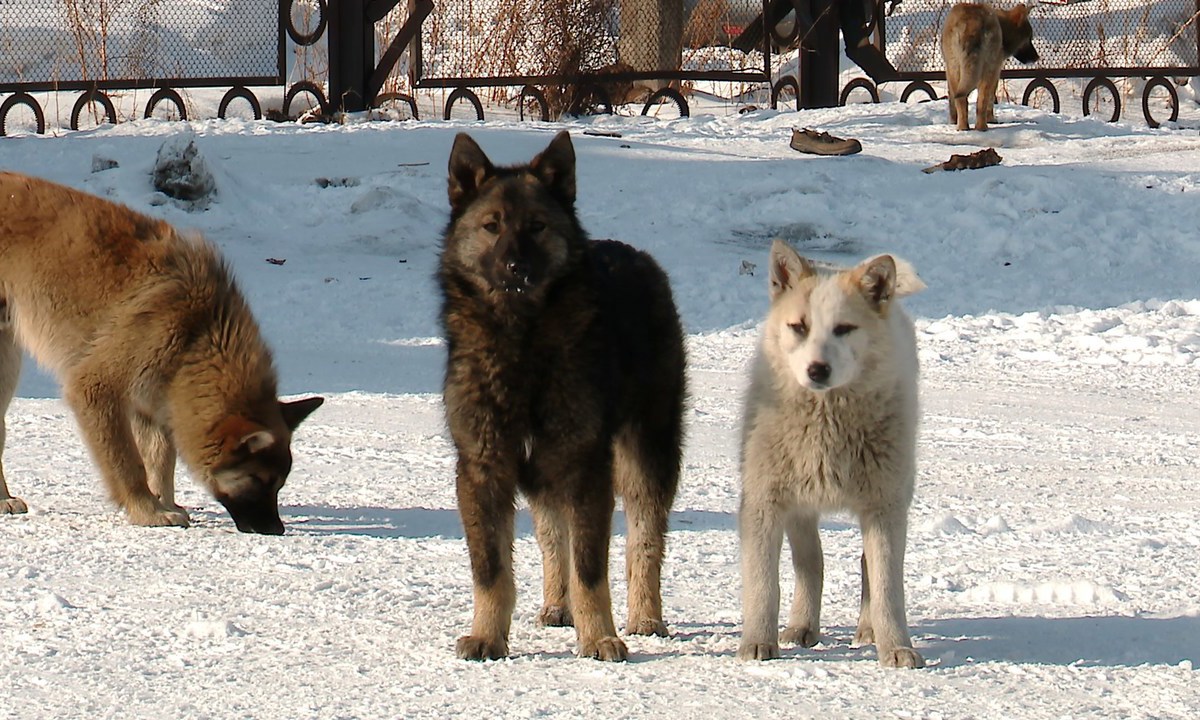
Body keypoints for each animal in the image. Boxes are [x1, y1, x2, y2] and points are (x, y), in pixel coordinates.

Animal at [0, 172, 324, 535]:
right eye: (259, 480)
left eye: (281, 484)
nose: (277, 530)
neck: (197, 331)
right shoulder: (96, 390)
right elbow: (129, 465)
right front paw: (147, 510)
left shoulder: (153, 401)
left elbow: (161, 461)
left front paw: (165, 503)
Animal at [439, 132, 686, 662]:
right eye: (492, 226)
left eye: (536, 226)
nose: (515, 266)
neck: (521, 340)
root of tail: (635, 254)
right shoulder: (484, 469)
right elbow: (492, 570)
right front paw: (487, 635)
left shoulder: (586, 466)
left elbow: (591, 569)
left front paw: (599, 638)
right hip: (547, 472)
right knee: (554, 538)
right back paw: (557, 605)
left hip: (646, 454)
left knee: (645, 539)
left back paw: (645, 616)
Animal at [734, 240, 921, 667]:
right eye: (799, 327)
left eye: (844, 329)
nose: (817, 370)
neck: (825, 423)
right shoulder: (764, 503)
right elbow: (763, 583)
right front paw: (758, 643)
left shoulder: (884, 508)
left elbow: (888, 588)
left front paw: (896, 648)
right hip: (800, 508)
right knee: (810, 563)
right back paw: (802, 627)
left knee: (865, 566)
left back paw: (868, 630)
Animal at [940, 2, 1036, 130]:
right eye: (1030, 38)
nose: (1037, 57)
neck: (1003, 27)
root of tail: (973, 23)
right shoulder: (996, 70)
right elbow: (991, 99)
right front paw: (992, 119)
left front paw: (953, 121)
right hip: (987, 70)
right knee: (982, 101)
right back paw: (982, 127)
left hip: (955, 68)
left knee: (961, 100)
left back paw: (963, 127)